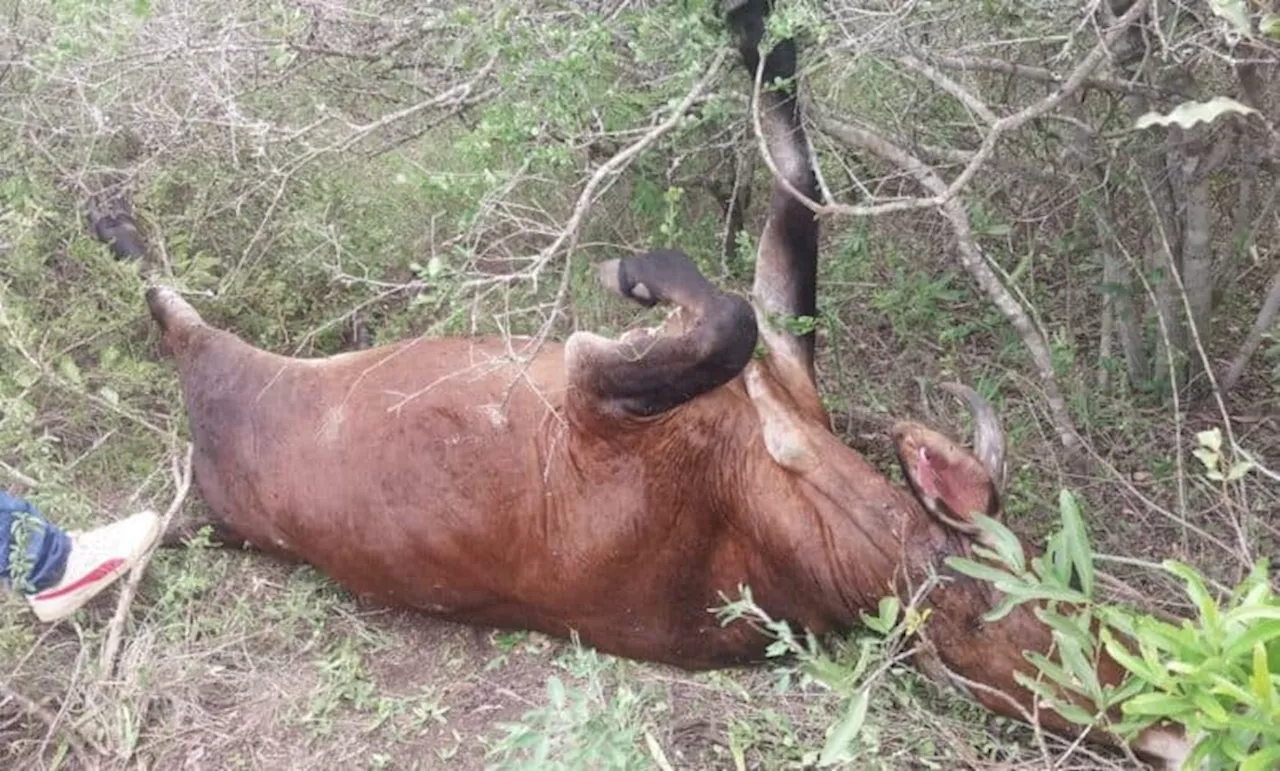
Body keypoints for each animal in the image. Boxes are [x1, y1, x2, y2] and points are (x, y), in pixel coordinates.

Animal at [135, 3, 1182, 763]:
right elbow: (795, 187)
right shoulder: (781, 361)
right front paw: (758, 29)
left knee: (178, 322)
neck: (775, 508)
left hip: (218, 410)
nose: (1170, 722)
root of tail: (203, 497)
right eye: (1070, 599)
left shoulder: (601, 396)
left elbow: (725, 314)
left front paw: (640, 270)